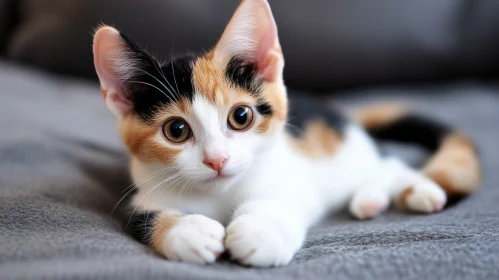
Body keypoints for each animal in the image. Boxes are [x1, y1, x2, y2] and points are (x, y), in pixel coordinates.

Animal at [93, 0, 480, 266]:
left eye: (241, 116)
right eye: (176, 130)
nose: (217, 159)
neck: (221, 194)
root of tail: (333, 108)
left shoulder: (291, 177)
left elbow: (279, 200)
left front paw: (258, 231)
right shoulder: (144, 192)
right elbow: (142, 219)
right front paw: (188, 231)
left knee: (388, 165)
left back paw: (417, 190)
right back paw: (369, 200)